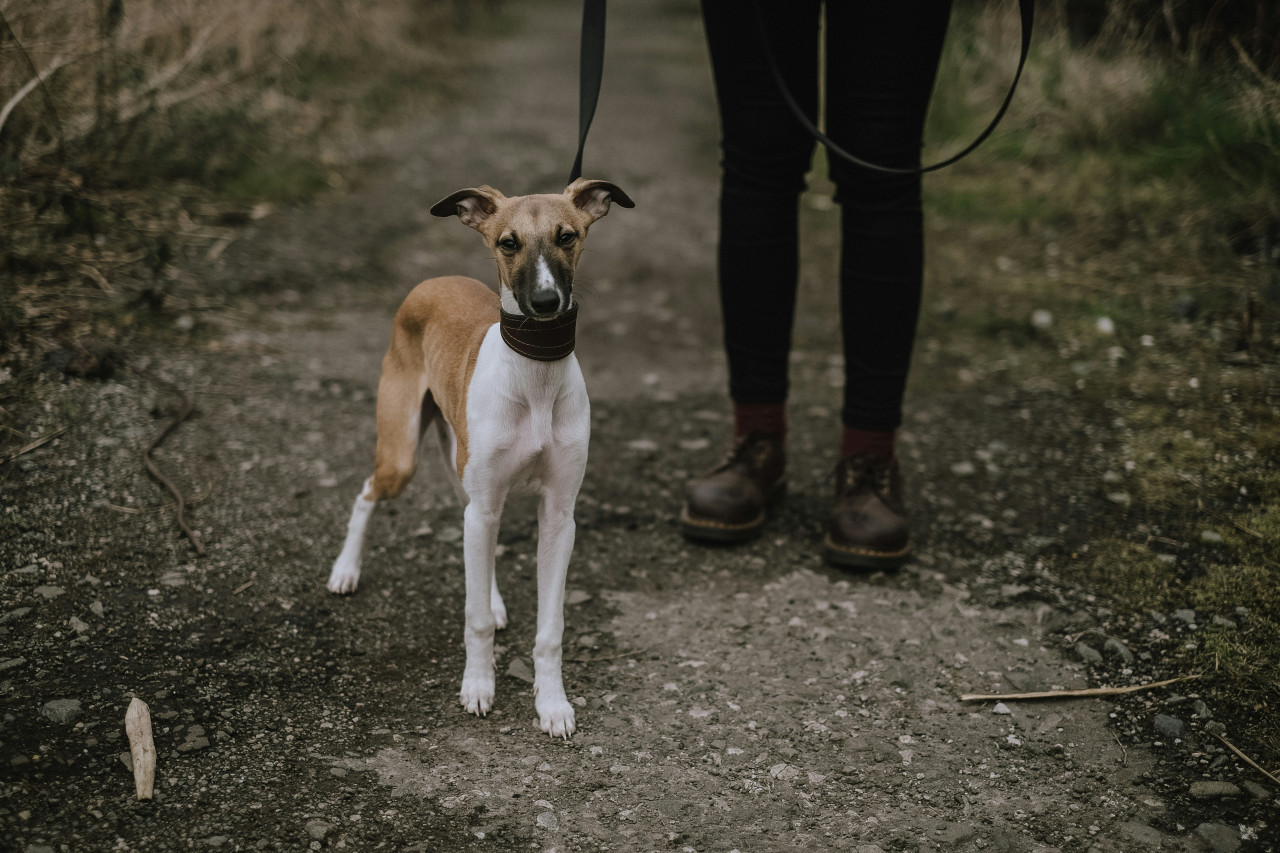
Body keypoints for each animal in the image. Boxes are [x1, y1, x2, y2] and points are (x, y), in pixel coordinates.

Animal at [327, 175, 632, 732]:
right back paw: (345, 570)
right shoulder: (486, 499)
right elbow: (473, 620)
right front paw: (478, 686)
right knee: (367, 493)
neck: (535, 374)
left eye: (567, 236)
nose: (545, 303)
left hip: (467, 475)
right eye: (508, 243)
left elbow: (550, 628)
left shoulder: (559, 516)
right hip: (402, 456)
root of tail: (433, 280)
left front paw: (552, 703)